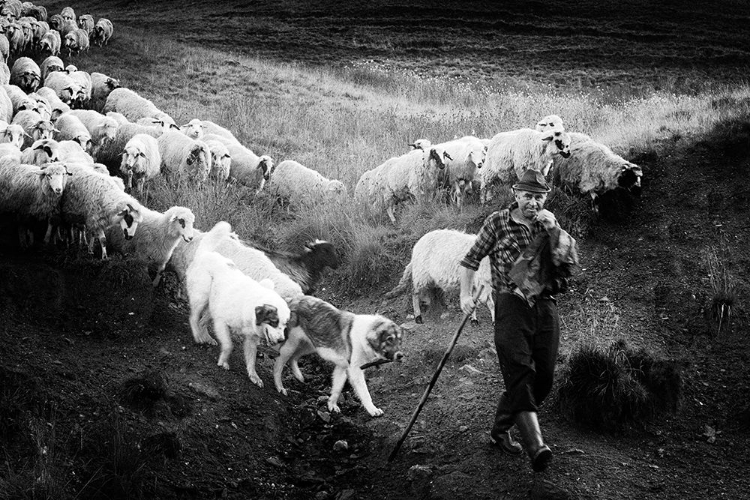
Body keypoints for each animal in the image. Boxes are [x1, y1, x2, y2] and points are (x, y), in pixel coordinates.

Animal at [274, 294, 406, 416]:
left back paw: (299, 376)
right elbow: (365, 393)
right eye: (389, 339)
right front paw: (372, 409)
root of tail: (290, 299)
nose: (401, 355)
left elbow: (337, 388)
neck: (364, 335)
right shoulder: (355, 371)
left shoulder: (342, 367)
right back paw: (280, 388)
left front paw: (331, 405)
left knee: (293, 358)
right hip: (290, 345)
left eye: (399, 340)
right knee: (278, 366)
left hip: (311, 344)